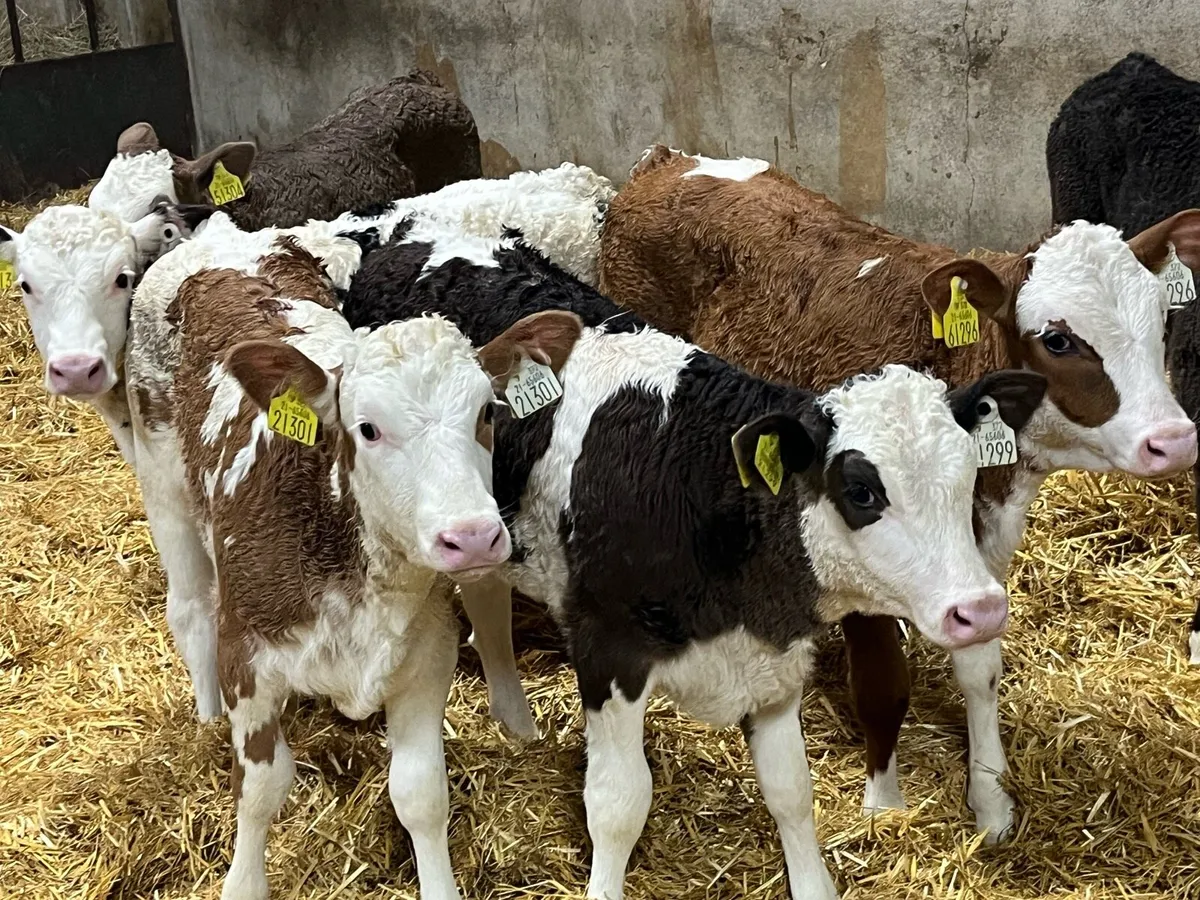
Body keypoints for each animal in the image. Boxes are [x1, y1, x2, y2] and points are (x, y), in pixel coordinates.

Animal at [123, 230, 582, 900]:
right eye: (367, 428)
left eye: (487, 413)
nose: (471, 537)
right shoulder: (247, 657)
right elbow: (260, 789)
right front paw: (243, 881)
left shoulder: (427, 656)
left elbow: (420, 794)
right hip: (162, 474)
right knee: (187, 607)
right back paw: (206, 718)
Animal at [338, 222, 1048, 900]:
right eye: (862, 491)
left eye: (967, 474)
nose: (981, 609)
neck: (697, 485)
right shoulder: (608, 651)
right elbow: (618, 805)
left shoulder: (773, 659)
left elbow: (793, 792)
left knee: (485, 593)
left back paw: (515, 720)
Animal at [594, 144, 1200, 841]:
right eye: (1058, 339)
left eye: (1163, 321)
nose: (1175, 439)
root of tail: (666, 161)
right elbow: (883, 685)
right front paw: (885, 804)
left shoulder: (977, 559)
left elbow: (981, 672)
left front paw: (991, 799)